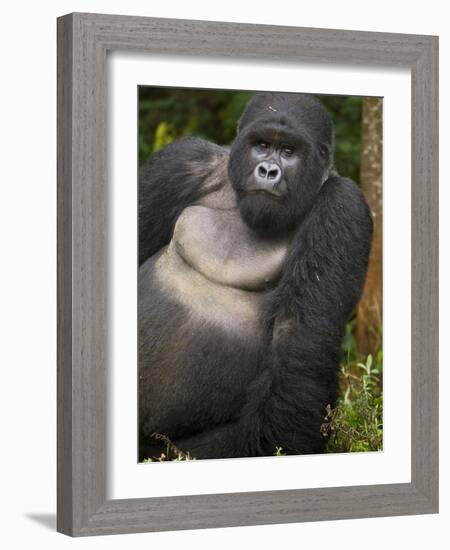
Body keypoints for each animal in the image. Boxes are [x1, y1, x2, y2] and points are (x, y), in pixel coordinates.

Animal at [138, 91, 372, 462]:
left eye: (289, 152)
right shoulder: (183, 162)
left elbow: (296, 363)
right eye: (261, 145)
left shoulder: (342, 207)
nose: (268, 171)